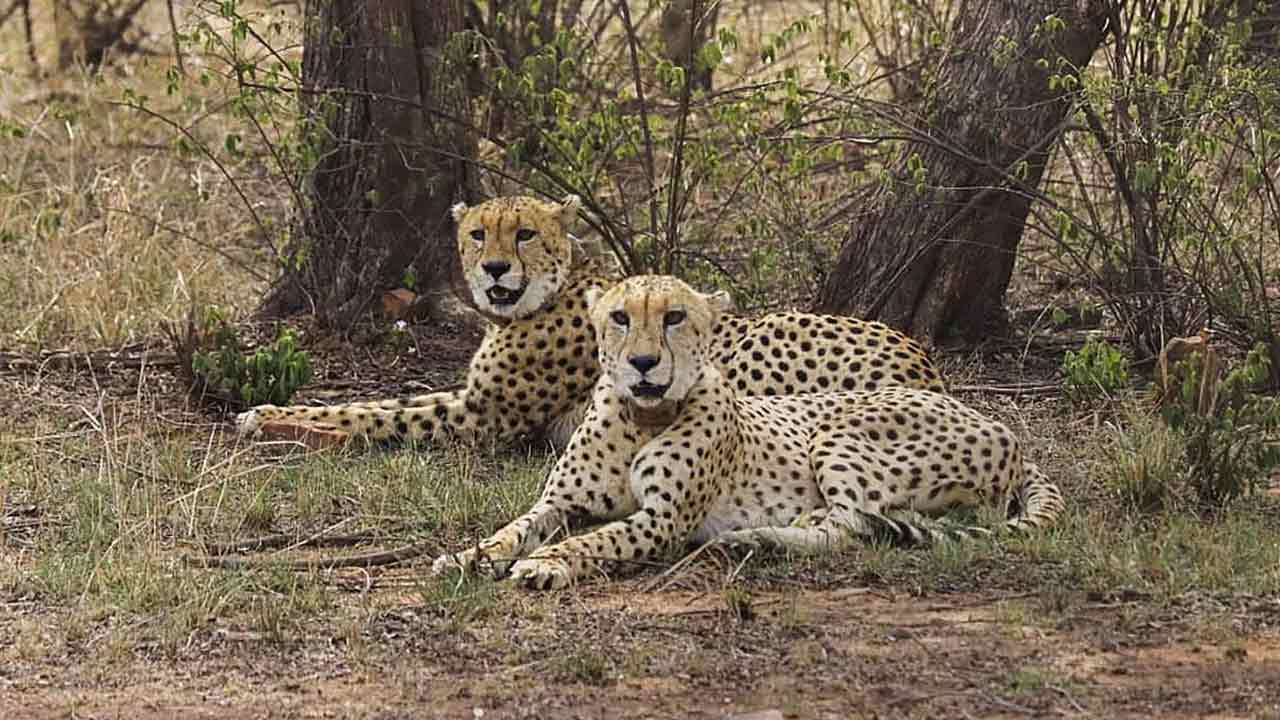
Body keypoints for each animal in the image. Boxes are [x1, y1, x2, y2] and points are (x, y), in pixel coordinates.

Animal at [236, 194, 947, 451]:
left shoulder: (485, 418)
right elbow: (381, 400)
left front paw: (276, 422)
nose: (494, 269)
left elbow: (374, 415)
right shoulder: (471, 397)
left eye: (523, 233)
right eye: (478, 233)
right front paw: (270, 410)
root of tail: (924, 361)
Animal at [431, 275, 1064, 590]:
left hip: (837, 432)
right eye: (619, 317)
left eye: (674, 317)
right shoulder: (561, 502)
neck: (641, 417)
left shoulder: (662, 520)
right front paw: (469, 556)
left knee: (850, 526)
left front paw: (547, 564)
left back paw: (756, 537)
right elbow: (514, 528)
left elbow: (596, 540)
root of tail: (1002, 428)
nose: (643, 364)